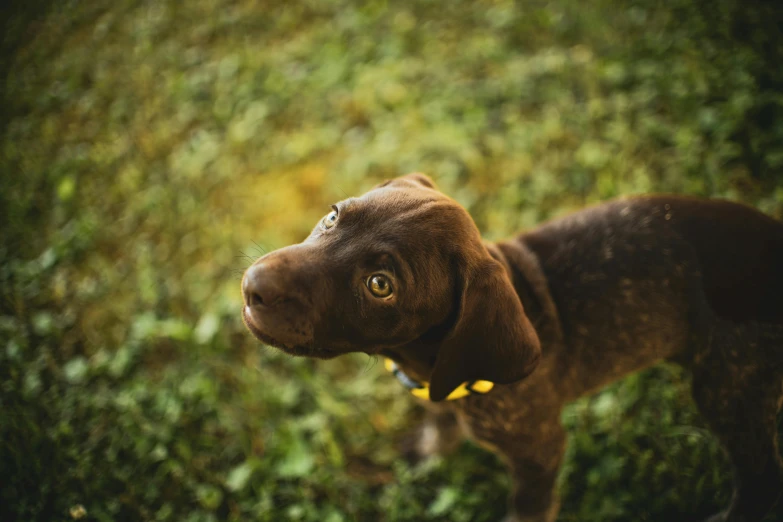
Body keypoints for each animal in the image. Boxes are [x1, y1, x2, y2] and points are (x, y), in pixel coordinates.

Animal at [240, 174, 783, 520]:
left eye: (380, 285)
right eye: (333, 216)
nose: (253, 287)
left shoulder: (539, 452)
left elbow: (528, 509)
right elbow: (439, 420)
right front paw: (432, 448)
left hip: (728, 387)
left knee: (760, 481)